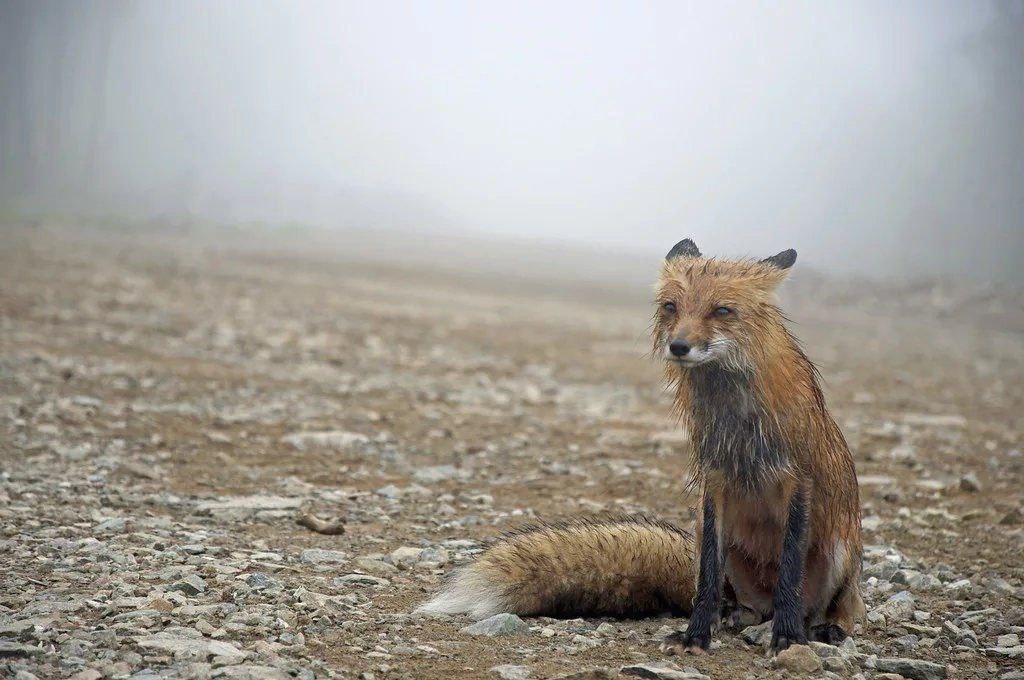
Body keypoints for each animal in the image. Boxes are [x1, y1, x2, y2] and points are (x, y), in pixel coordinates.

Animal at [418, 239, 864, 655]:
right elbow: (705, 582)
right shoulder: (715, 481)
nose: (679, 346)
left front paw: (787, 638)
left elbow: (790, 572)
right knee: (731, 599)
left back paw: (821, 627)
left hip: (840, 554)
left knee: (830, 609)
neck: (738, 421)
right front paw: (695, 635)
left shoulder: (797, 480)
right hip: (717, 551)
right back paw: (730, 616)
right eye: (671, 306)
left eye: (722, 311)